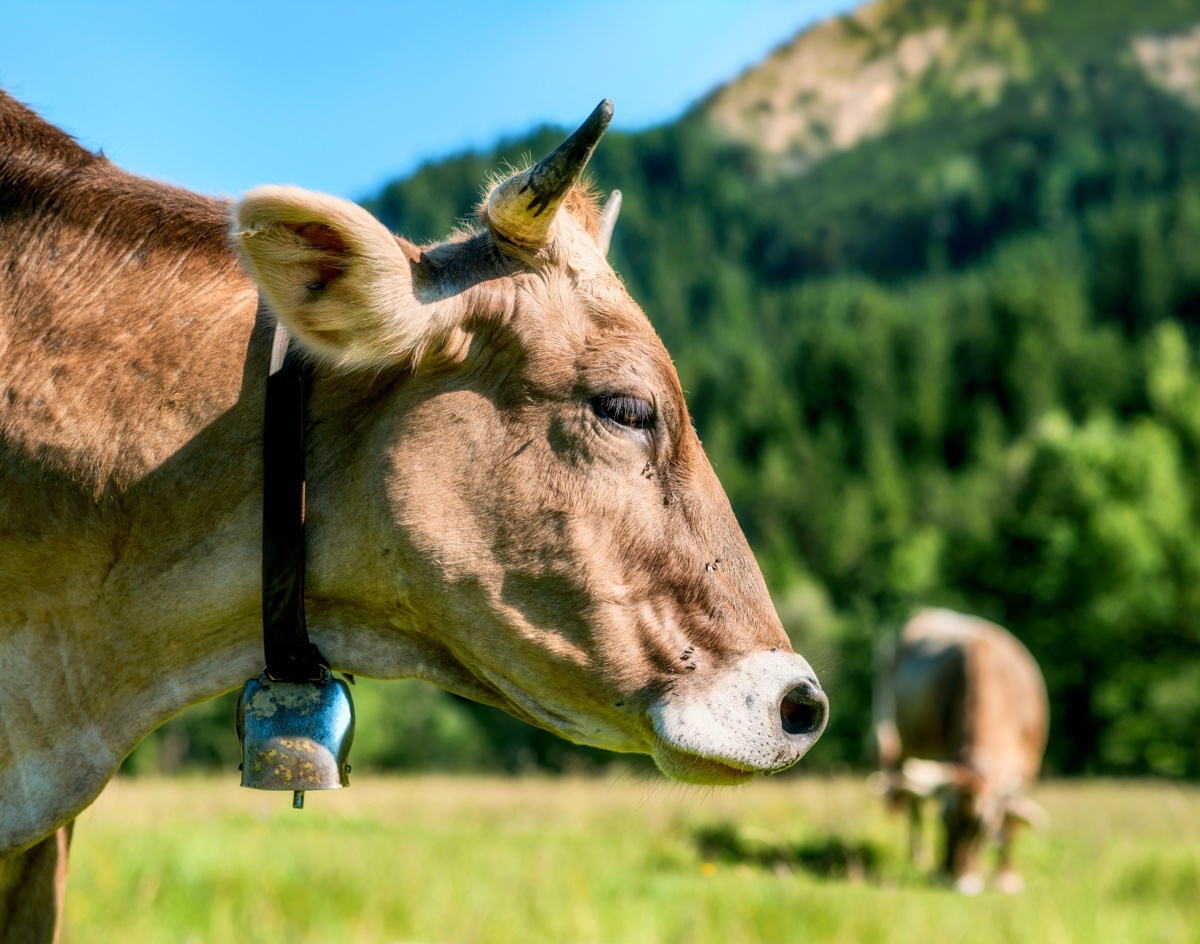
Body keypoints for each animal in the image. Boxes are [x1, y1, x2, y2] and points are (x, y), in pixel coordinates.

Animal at [871, 608, 1048, 894]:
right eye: (946, 821)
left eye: (984, 828)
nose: (963, 884)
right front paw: (942, 870)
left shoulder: (1028, 766)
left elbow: (1011, 815)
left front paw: (1007, 876)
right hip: (907, 744)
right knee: (915, 805)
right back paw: (919, 857)